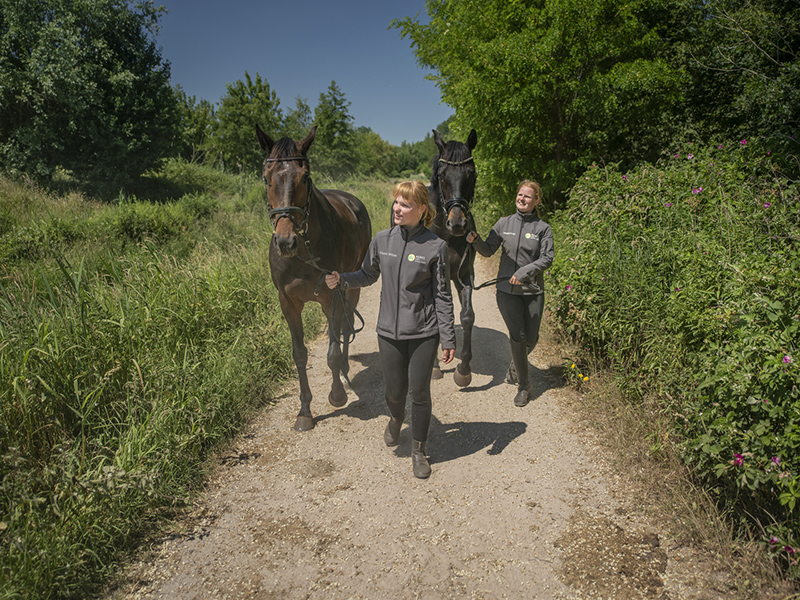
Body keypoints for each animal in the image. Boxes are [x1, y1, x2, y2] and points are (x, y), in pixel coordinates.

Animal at [256, 125, 372, 431]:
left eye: (305, 176)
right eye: (266, 177)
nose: (286, 242)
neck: (304, 252)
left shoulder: (331, 296)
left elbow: (332, 351)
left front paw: (337, 395)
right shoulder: (288, 303)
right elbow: (299, 355)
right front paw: (305, 411)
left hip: (350, 288)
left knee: (347, 326)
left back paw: (344, 373)